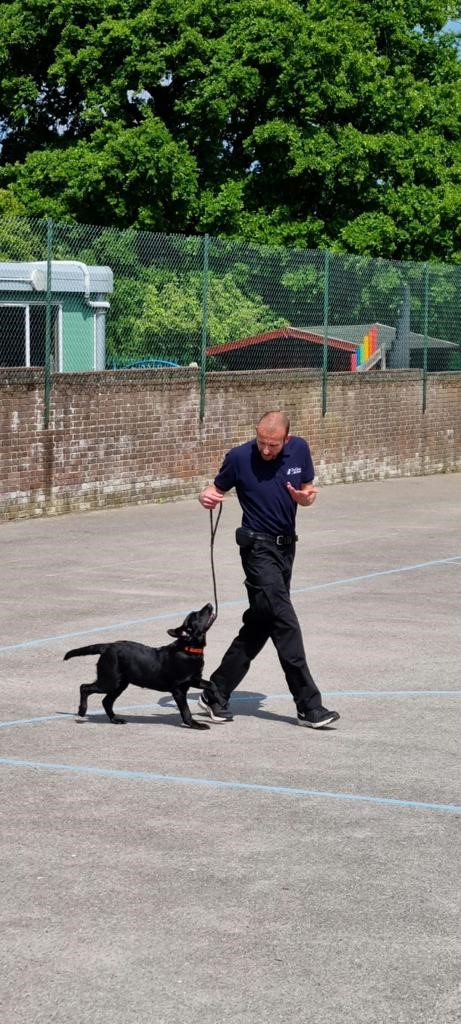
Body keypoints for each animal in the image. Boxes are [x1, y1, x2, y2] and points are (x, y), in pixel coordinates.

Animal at [63, 598, 216, 729]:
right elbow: (185, 710)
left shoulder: (194, 680)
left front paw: (215, 698)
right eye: (198, 615)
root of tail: (107, 647)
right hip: (110, 681)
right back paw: (82, 711)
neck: (189, 649)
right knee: (84, 687)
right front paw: (195, 724)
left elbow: (211, 684)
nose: (209, 604)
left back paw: (115, 719)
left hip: (120, 684)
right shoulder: (179, 689)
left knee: (106, 701)